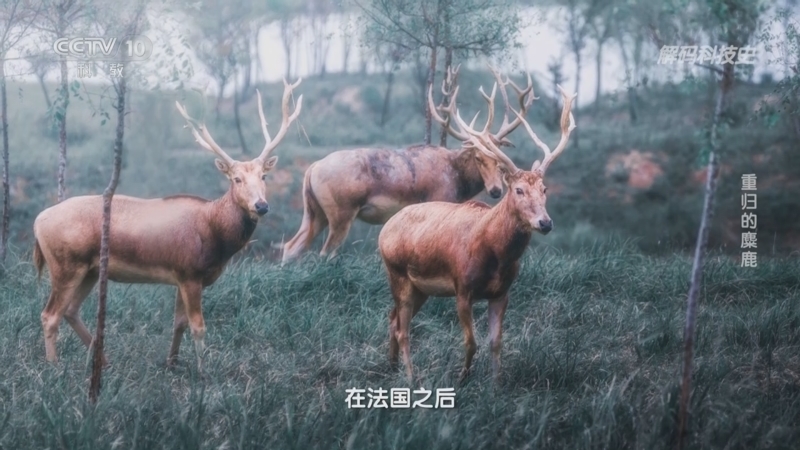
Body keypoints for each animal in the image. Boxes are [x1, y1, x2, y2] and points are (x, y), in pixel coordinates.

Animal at [32, 78, 303, 370]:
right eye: (236, 179)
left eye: (264, 176)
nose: (261, 206)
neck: (217, 239)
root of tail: (37, 222)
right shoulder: (190, 272)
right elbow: (198, 327)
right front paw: (203, 372)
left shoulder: (181, 277)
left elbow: (179, 323)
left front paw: (172, 363)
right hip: (66, 264)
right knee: (50, 314)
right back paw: (54, 365)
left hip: (90, 270)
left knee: (71, 311)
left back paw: (103, 360)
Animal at [280, 65, 535, 264]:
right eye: (478, 158)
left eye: (500, 161)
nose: (495, 190)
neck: (459, 182)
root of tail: (311, 170)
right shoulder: (439, 201)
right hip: (341, 211)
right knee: (325, 253)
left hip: (314, 212)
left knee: (291, 247)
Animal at [378, 79, 577, 382]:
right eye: (518, 190)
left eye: (544, 189)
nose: (545, 222)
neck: (494, 254)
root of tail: (384, 229)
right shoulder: (462, 288)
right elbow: (471, 342)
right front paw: (462, 379)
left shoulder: (502, 293)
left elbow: (496, 343)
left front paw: (496, 385)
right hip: (397, 273)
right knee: (403, 330)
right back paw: (411, 378)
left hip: (420, 288)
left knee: (393, 320)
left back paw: (390, 368)